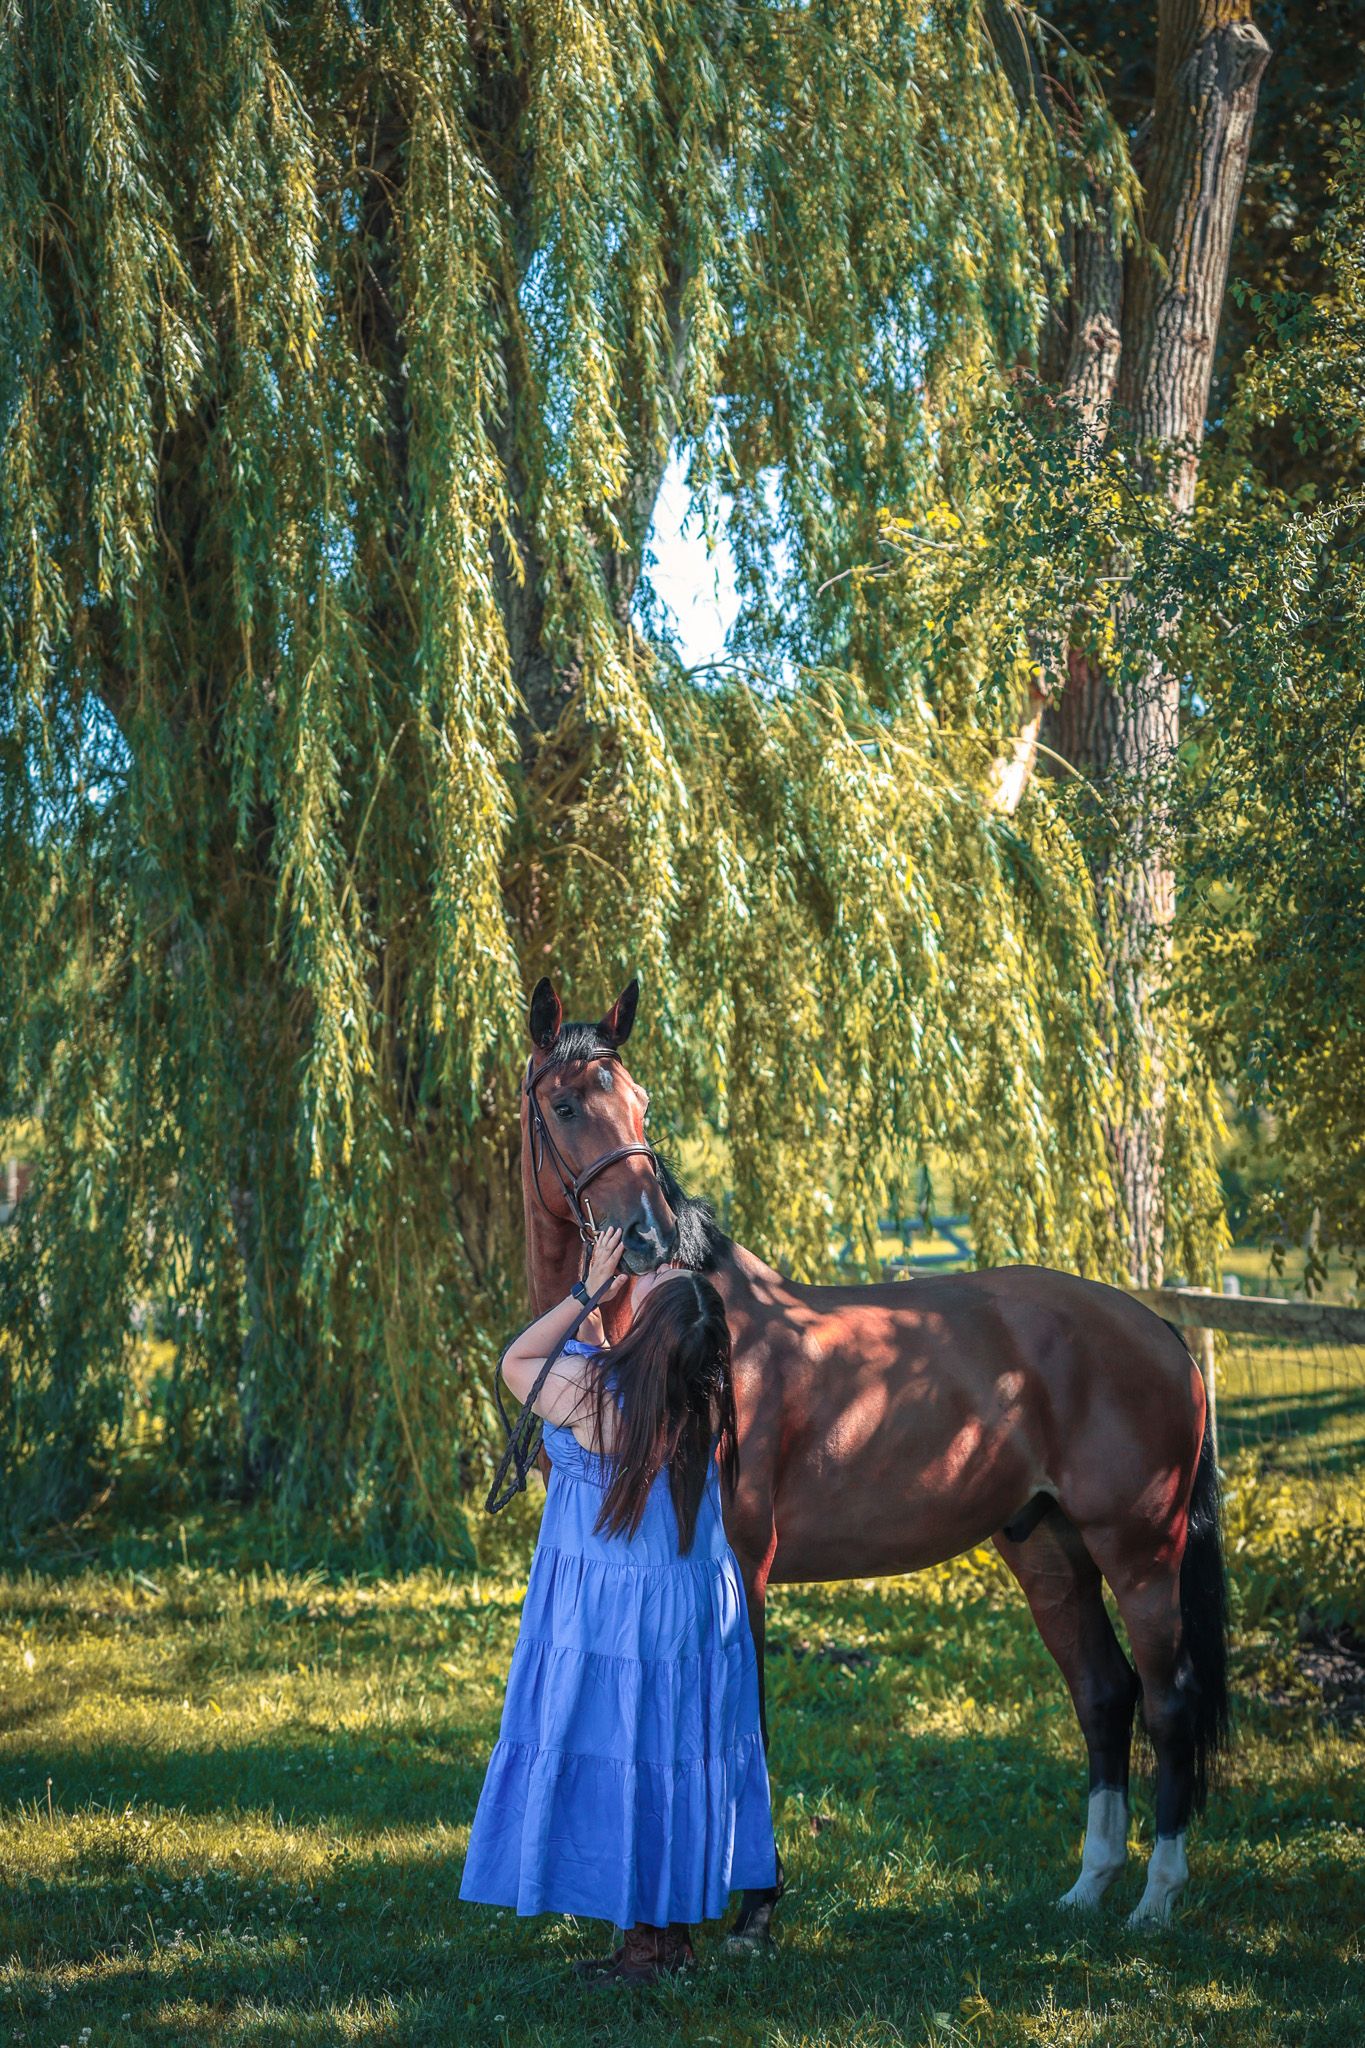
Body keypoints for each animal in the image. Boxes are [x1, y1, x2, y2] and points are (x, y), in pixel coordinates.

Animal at [515, 974, 1229, 1943]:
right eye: (563, 1103)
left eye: (640, 1103)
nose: (646, 1238)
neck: (676, 1329)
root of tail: (1154, 1326)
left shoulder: (742, 1565)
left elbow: (748, 1719)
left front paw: (754, 1907)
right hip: (1049, 1550)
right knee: (1102, 1694)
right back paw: (1089, 1885)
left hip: (1139, 1550)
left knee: (1167, 1699)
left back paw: (1156, 1896)